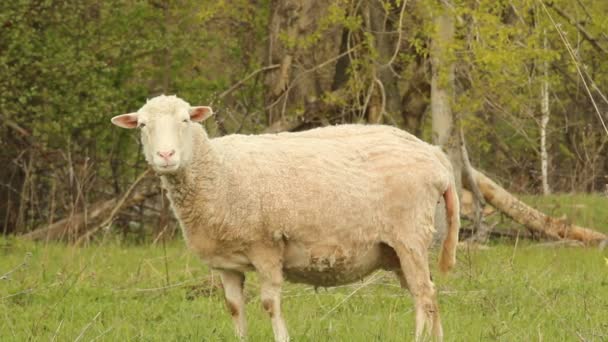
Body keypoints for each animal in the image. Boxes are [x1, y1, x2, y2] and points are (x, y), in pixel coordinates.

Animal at [110, 94, 460, 342]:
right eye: (142, 126)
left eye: (185, 120)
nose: (165, 156)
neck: (217, 170)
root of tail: (436, 156)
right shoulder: (225, 263)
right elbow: (234, 307)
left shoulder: (265, 247)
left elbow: (269, 303)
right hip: (399, 247)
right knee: (428, 294)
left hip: (410, 234)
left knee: (423, 295)